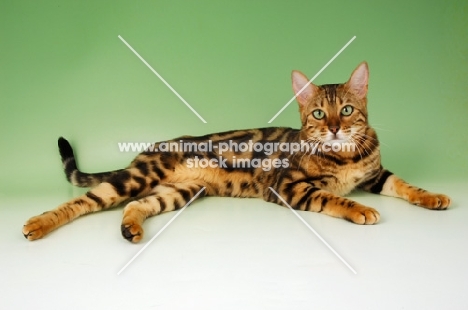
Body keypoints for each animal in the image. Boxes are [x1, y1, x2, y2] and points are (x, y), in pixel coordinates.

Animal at [22, 62, 450, 242]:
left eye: (346, 110)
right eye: (317, 113)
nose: (333, 128)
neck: (344, 155)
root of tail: (146, 149)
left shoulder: (376, 174)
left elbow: (406, 185)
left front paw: (434, 196)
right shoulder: (289, 186)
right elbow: (333, 197)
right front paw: (359, 208)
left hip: (177, 192)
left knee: (135, 206)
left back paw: (131, 228)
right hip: (138, 176)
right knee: (84, 202)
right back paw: (39, 223)